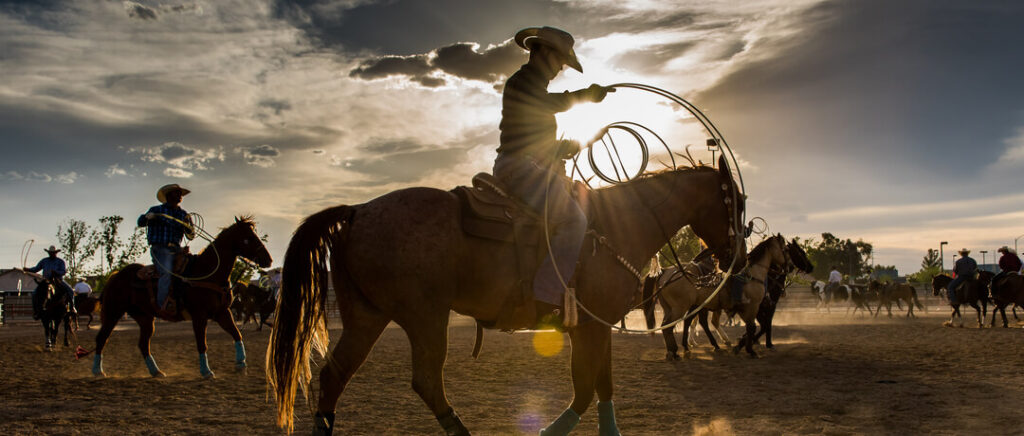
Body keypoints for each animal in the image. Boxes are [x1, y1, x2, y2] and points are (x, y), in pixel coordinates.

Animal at [91, 218, 272, 378]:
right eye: (248, 239)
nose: (268, 260)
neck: (207, 272)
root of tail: (115, 276)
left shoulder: (222, 312)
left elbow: (236, 334)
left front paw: (241, 364)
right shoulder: (199, 316)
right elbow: (202, 344)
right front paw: (206, 371)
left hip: (144, 317)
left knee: (143, 344)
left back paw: (156, 371)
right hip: (113, 312)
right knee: (101, 338)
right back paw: (98, 371)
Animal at [266, 160, 745, 436]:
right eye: (734, 202)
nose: (736, 260)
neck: (612, 225)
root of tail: (357, 211)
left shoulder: (599, 325)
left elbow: (602, 387)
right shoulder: (589, 328)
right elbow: (584, 389)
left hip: (368, 317)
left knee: (333, 377)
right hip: (425, 317)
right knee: (426, 381)